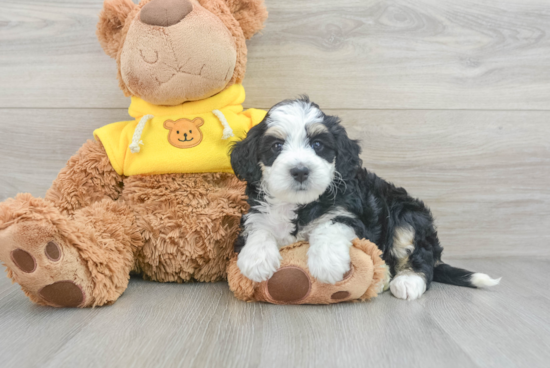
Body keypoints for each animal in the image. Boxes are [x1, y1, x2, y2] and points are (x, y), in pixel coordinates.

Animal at [231, 97, 502, 300]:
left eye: (318, 144)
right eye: (276, 146)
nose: (300, 171)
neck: (301, 204)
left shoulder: (350, 215)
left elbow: (329, 227)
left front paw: (327, 263)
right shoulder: (255, 213)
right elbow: (259, 228)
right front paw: (256, 260)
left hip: (408, 214)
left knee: (419, 256)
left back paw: (407, 281)